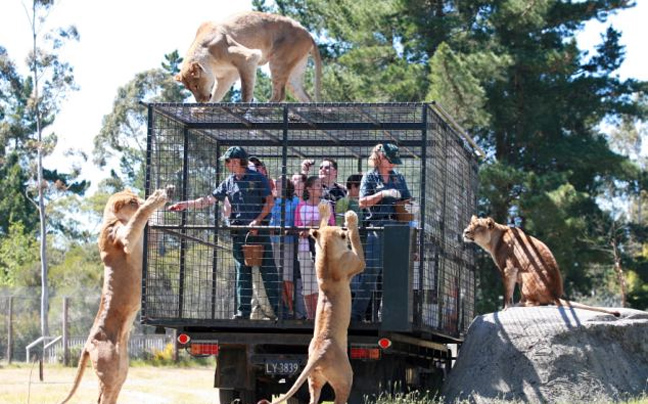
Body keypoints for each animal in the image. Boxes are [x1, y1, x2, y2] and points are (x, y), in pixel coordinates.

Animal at [57, 186, 172, 404]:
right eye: (133, 201)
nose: (141, 198)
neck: (112, 218)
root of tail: (87, 343)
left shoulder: (145, 241)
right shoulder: (124, 238)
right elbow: (139, 216)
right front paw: (156, 198)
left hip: (121, 370)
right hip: (108, 369)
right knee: (102, 398)